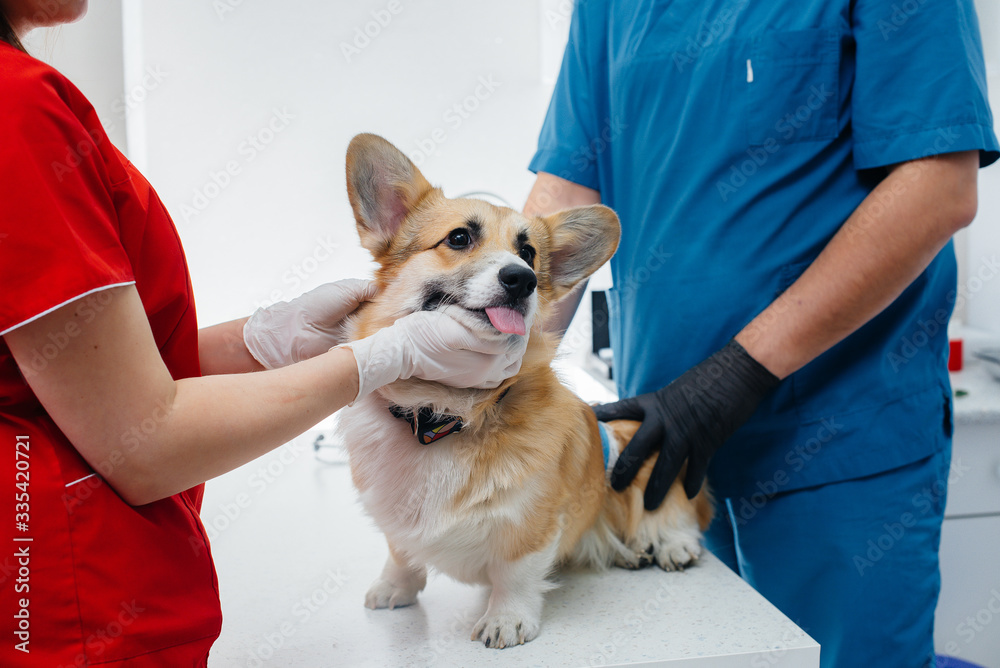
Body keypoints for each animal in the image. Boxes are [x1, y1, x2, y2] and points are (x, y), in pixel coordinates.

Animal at [340, 133, 716, 648]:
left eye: (530, 254)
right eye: (459, 238)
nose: (522, 279)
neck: (445, 415)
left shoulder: (532, 520)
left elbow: (515, 573)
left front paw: (506, 620)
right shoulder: (396, 517)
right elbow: (400, 552)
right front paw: (394, 587)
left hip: (639, 456)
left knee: (671, 509)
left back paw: (667, 543)